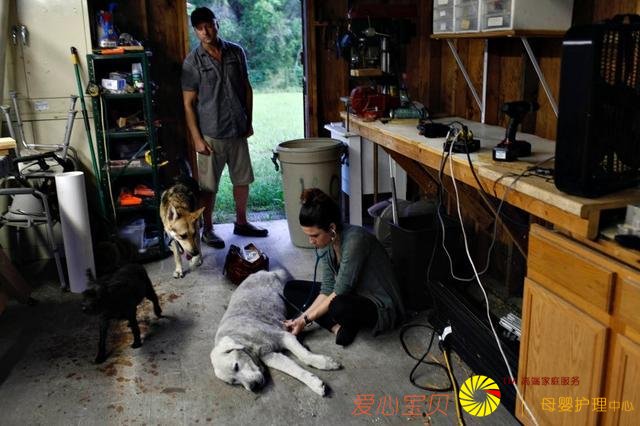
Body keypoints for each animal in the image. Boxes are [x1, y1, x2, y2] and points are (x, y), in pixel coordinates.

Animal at [210, 270, 341, 396]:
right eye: (233, 382)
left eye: (236, 366)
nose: (254, 387)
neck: (244, 339)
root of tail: (262, 271)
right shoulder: (269, 356)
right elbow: (293, 370)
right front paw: (314, 383)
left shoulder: (285, 336)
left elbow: (305, 356)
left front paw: (325, 363)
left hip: (283, 290)